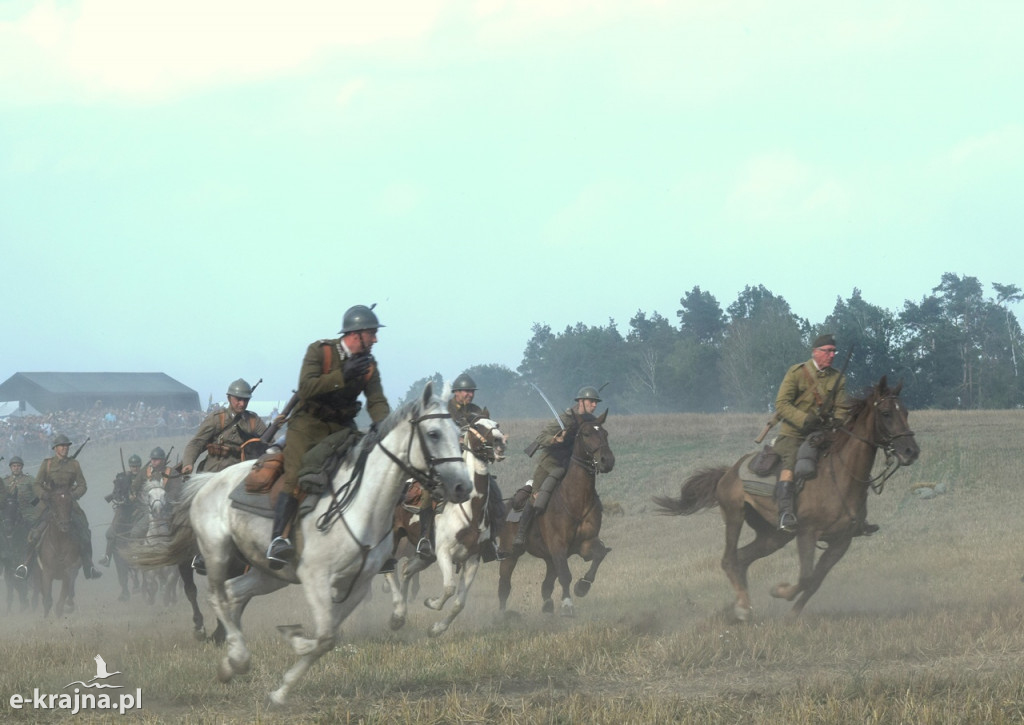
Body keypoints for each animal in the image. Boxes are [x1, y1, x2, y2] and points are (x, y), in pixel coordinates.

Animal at [37, 487, 82, 618]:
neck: (59, 545)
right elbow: (47, 600)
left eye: (71, 502)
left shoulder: (68, 573)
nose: (64, 525)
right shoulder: (46, 573)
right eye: (54, 503)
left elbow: (60, 603)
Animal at [138, 382, 468, 704]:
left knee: (232, 594)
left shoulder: (356, 586)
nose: (463, 486)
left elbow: (327, 637)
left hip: (270, 574)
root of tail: (209, 481)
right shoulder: (316, 579)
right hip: (218, 553)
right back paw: (237, 657)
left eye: (457, 432)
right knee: (216, 596)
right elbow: (325, 637)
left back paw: (230, 661)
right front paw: (289, 660)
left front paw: (283, 684)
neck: (362, 504)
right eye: (434, 433)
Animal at [385, 411, 505, 638]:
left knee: (405, 570)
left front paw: (436, 629)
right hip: (395, 539)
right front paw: (431, 602)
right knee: (389, 569)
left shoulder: (472, 559)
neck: (468, 510)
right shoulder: (443, 553)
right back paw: (396, 616)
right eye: (478, 426)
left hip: (426, 555)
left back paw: (401, 614)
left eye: (496, 424)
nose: (500, 442)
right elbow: (449, 588)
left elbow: (459, 602)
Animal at [497, 411, 614, 614]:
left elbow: (599, 554)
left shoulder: (585, 544)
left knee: (547, 584)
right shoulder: (558, 547)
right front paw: (567, 604)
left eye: (605, 433)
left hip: (548, 558)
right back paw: (503, 615)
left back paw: (547, 607)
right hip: (510, 554)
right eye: (586, 434)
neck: (576, 501)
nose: (607, 461)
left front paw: (582, 586)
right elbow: (565, 575)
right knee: (505, 584)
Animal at [655, 376, 921, 618]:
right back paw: (742, 608)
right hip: (735, 515)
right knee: (729, 559)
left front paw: (792, 615)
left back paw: (742, 606)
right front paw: (779, 591)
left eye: (906, 412)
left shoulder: (841, 541)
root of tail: (729, 472)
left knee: (743, 558)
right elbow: (805, 577)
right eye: (886, 413)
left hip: (774, 535)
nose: (911, 451)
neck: (841, 474)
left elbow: (815, 581)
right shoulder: (807, 533)